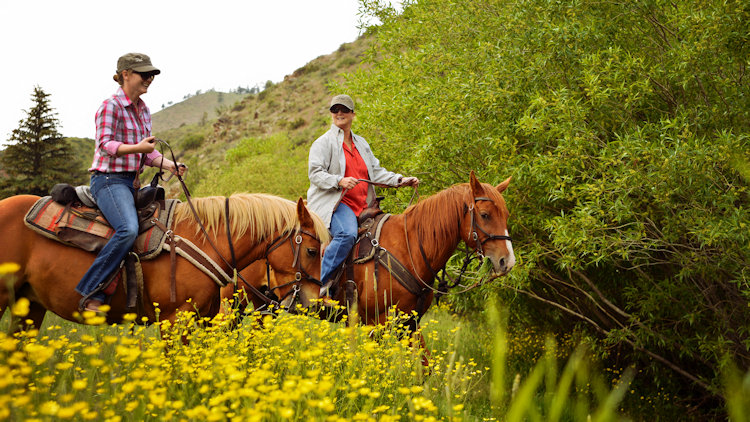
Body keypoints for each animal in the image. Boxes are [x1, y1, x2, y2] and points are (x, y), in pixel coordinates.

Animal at [0, 192, 328, 330]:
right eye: (312, 250)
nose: (315, 304)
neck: (204, 240)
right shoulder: (174, 320)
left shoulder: (204, 319)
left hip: (30, 306)